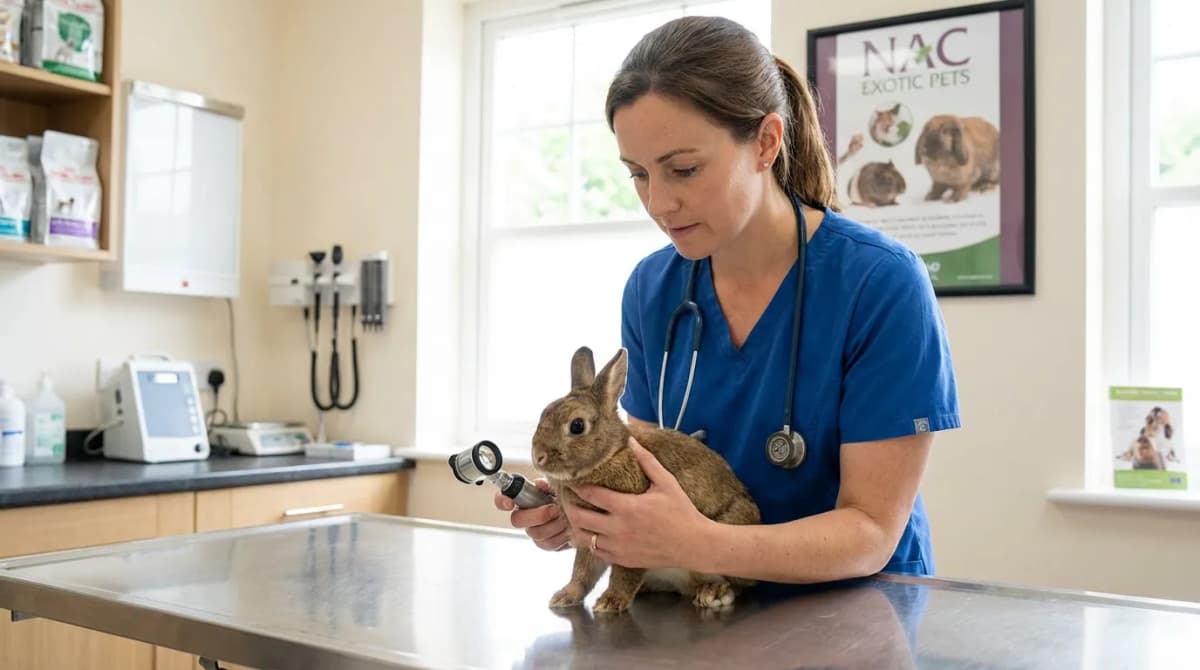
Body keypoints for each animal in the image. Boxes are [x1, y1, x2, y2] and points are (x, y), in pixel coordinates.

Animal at [531, 346, 761, 616]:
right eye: (543, 414)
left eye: (577, 426)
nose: (538, 457)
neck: (611, 455)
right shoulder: (590, 541)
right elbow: (582, 572)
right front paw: (565, 596)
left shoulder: (628, 542)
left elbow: (623, 573)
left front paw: (610, 602)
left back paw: (713, 593)